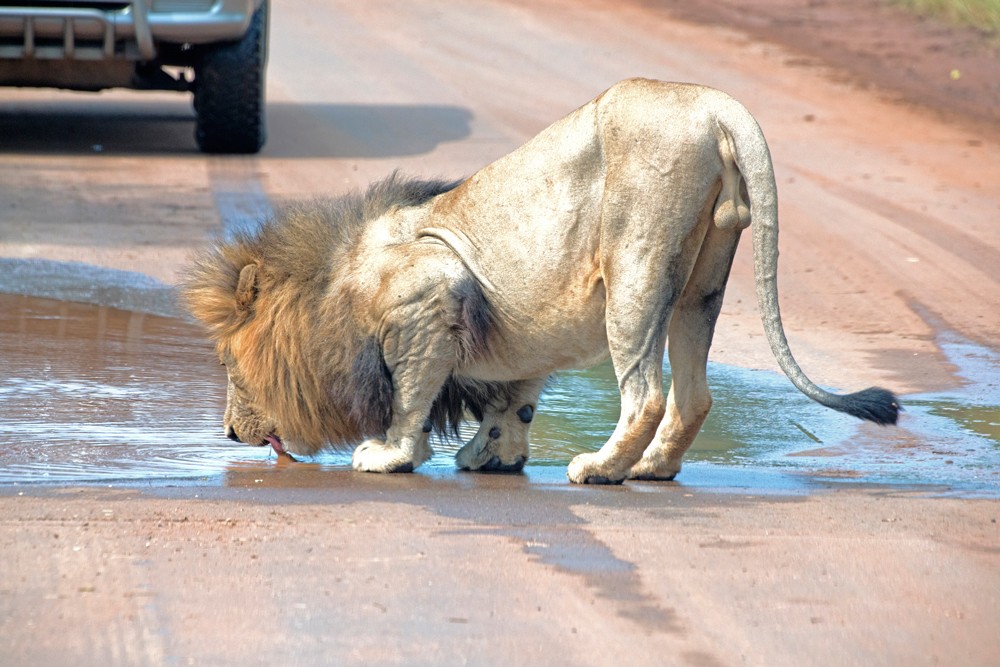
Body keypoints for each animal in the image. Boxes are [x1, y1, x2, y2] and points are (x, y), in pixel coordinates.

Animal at [184, 79, 904, 486]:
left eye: (227, 364)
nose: (229, 435)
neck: (333, 284)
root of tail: (714, 106)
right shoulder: (502, 328)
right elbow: (513, 401)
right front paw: (492, 457)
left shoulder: (431, 295)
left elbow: (412, 393)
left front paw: (390, 454)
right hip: (701, 284)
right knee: (694, 394)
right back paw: (653, 468)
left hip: (636, 270)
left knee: (645, 392)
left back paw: (602, 469)